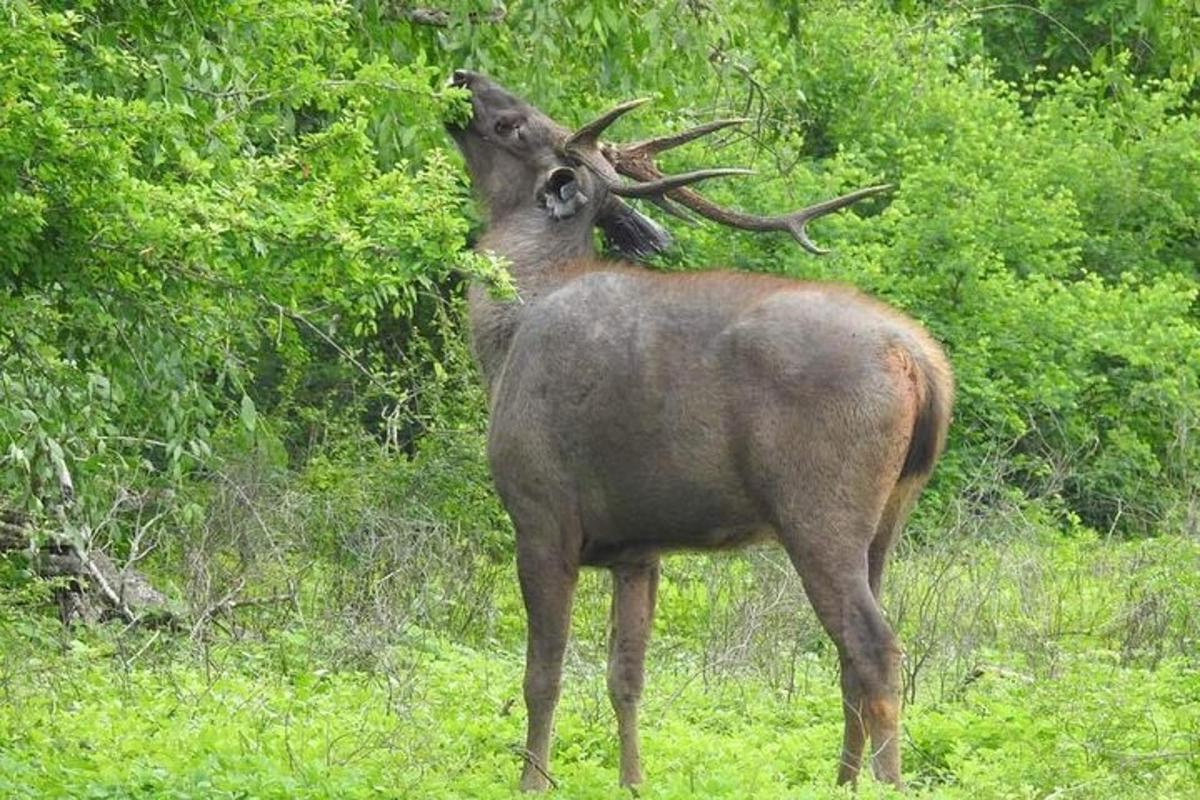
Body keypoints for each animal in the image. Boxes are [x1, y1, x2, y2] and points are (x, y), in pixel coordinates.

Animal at [446, 70, 950, 796]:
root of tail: (924, 366)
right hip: (888, 521)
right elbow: (626, 676)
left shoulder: (541, 514)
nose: (464, 77)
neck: (503, 337)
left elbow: (542, 675)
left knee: (874, 648)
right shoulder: (636, 547)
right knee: (851, 656)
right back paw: (842, 779)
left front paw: (533, 781)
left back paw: (883, 780)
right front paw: (633, 780)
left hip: (819, 511)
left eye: (514, 126)